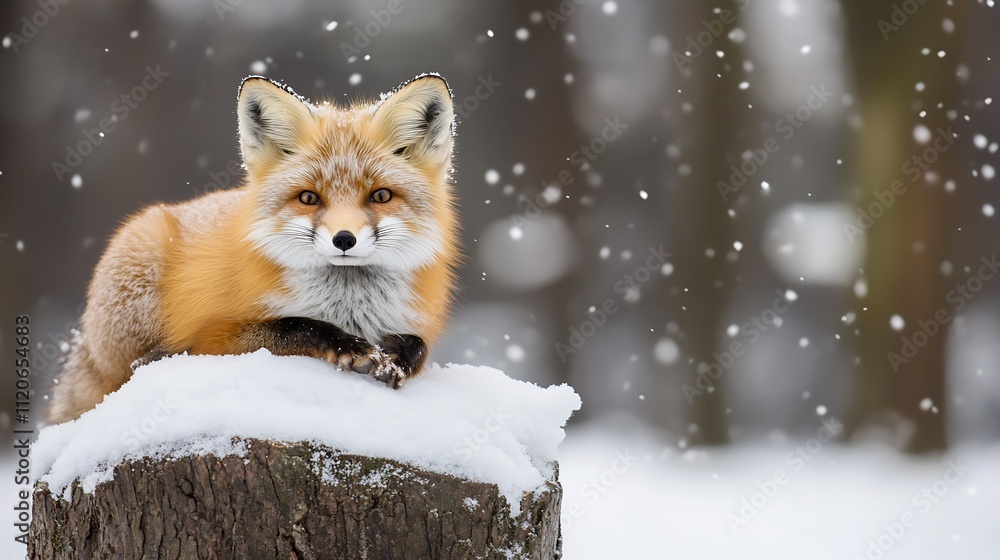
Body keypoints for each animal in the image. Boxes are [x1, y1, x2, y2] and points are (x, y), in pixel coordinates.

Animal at [48, 74, 459, 424]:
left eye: (381, 196)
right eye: (308, 198)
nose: (344, 239)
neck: (348, 307)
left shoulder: (411, 324)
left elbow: (418, 345)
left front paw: (395, 361)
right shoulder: (216, 337)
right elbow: (296, 325)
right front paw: (349, 347)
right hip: (142, 257)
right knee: (132, 369)